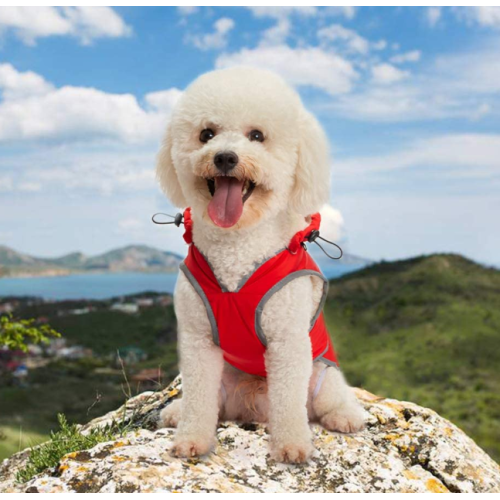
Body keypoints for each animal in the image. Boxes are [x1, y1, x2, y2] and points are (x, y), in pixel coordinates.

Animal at [155, 67, 364, 464]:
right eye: (206, 134)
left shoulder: (287, 340)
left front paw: (292, 445)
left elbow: (290, 403)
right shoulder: (198, 340)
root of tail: (252, 404)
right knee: (206, 400)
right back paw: (176, 411)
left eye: (257, 136)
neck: (237, 245)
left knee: (326, 400)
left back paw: (346, 416)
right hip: (224, 381)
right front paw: (191, 439)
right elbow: (199, 399)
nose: (224, 158)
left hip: (323, 372)